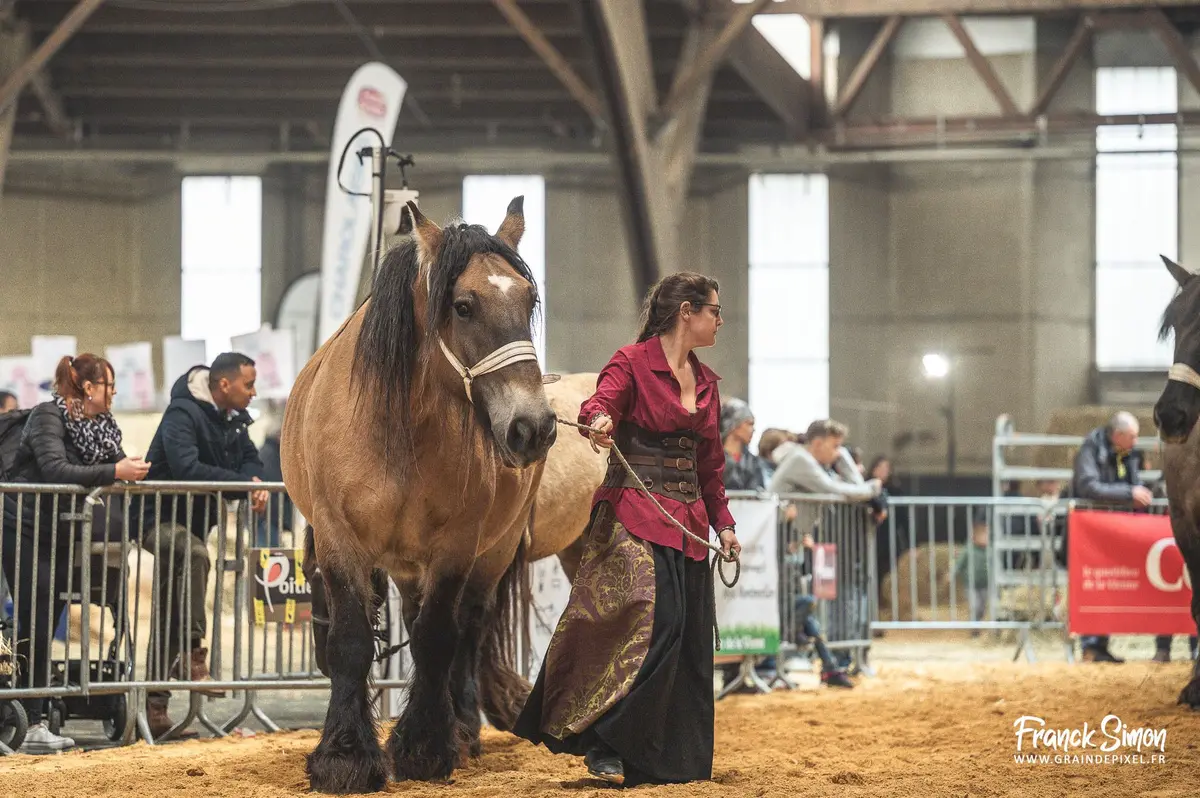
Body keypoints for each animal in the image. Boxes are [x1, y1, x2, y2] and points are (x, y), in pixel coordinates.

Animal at [281, 196, 560, 792]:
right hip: (406, 564)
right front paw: (345, 755)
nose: (533, 428)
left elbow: (437, 638)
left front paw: (424, 746)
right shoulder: (340, 542)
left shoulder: (457, 548)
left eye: (528, 300)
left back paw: (463, 727)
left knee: (469, 630)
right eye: (463, 305)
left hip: (491, 554)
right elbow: (353, 642)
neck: (400, 432)